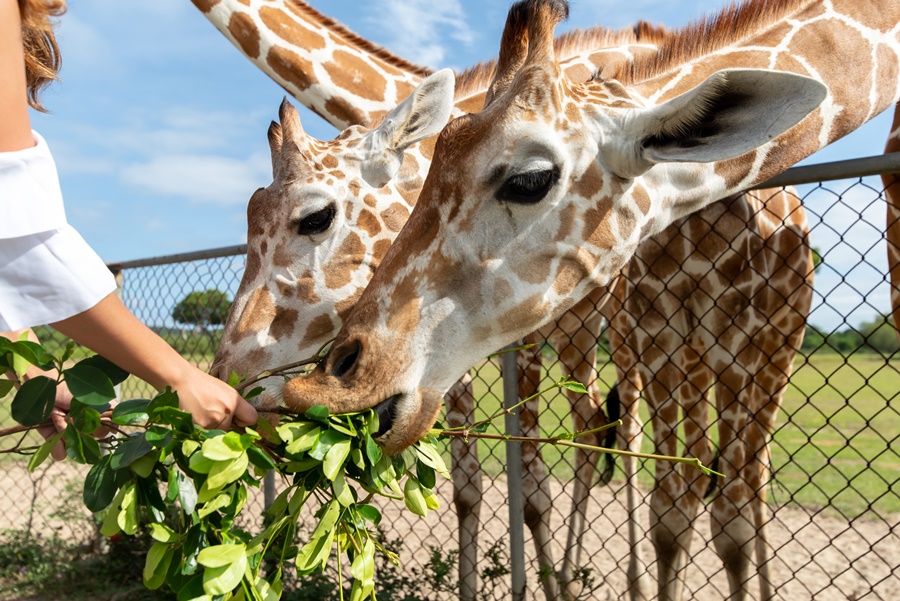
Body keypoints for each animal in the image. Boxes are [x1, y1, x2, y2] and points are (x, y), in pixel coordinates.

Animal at [202, 9, 668, 597]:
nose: (227, 379)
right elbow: (466, 485)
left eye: (315, 217)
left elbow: (534, 491)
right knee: (591, 425)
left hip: (633, 326)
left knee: (635, 430)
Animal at [603, 185, 813, 600]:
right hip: (694, 351)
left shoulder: (734, 323)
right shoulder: (655, 324)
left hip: (782, 343)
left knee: (755, 471)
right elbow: (667, 518)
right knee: (698, 464)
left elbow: (732, 530)